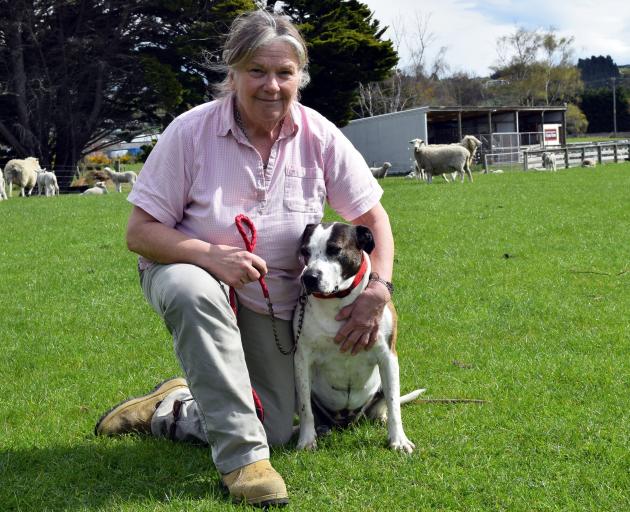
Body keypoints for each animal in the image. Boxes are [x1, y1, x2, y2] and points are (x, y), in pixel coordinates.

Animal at [296, 222, 424, 454]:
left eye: (334, 249)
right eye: (305, 251)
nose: (309, 277)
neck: (338, 301)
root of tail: (348, 420)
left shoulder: (388, 357)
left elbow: (394, 403)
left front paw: (398, 439)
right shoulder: (302, 358)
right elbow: (305, 408)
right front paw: (307, 440)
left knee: (385, 401)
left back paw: (381, 417)